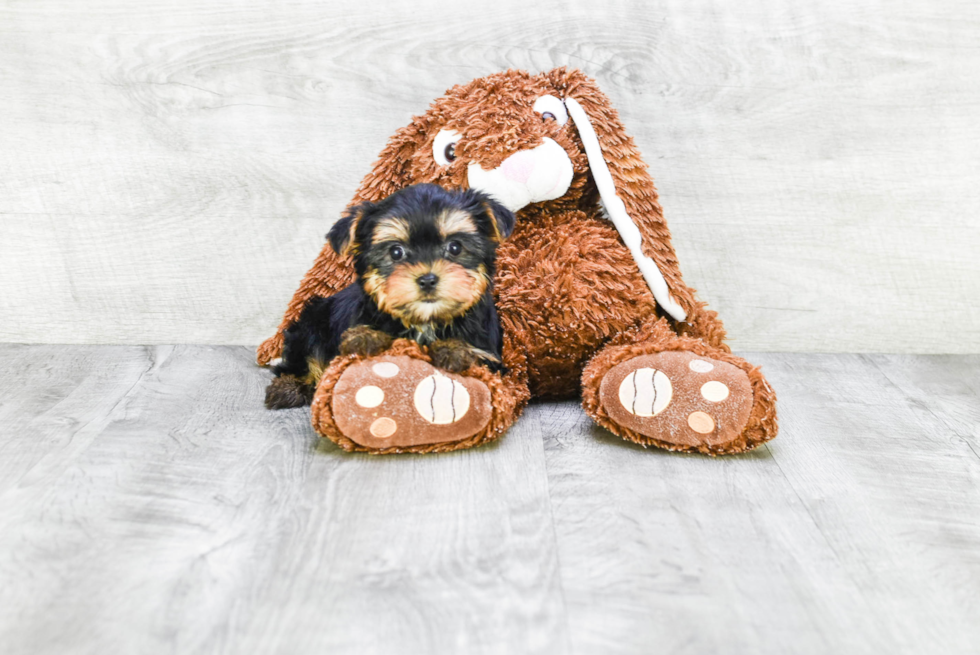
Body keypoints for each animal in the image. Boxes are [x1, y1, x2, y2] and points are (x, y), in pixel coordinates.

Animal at [264, 183, 516, 410]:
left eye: (455, 247)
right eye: (396, 252)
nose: (427, 279)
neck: (424, 321)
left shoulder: (491, 357)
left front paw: (454, 348)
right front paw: (366, 337)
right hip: (311, 320)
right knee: (301, 359)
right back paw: (287, 388)